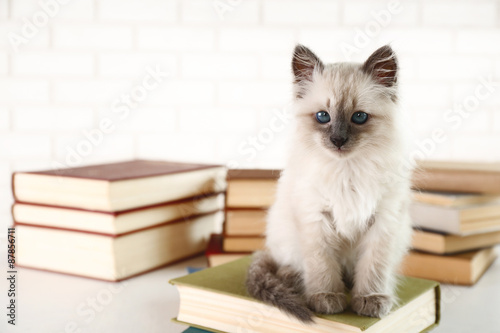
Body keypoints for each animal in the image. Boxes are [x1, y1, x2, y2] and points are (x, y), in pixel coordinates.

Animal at [246, 44, 414, 322]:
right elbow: (322, 265)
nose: (338, 140)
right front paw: (326, 297)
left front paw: (370, 299)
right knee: (286, 264)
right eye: (323, 116)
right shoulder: (316, 218)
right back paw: (294, 279)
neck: (346, 171)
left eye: (359, 117)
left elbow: (374, 267)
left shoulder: (383, 221)